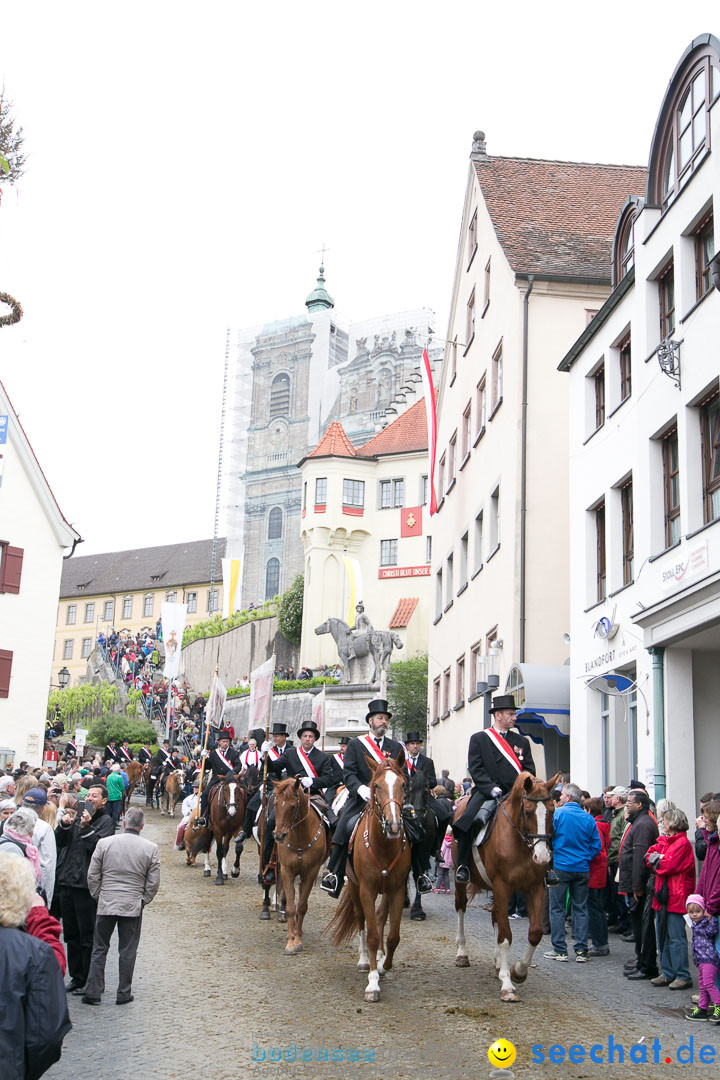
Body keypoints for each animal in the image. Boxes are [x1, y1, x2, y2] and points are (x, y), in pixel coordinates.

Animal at [273, 777, 332, 954]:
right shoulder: (287, 871)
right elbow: (291, 907)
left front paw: (297, 939)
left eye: (292, 806)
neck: (299, 837)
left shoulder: (311, 872)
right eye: (275, 803)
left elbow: (302, 906)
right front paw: (290, 942)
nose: (279, 836)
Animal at [328, 756, 410, 997]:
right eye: (376, 786)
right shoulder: (367, 889)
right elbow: (372, 934)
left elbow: (393, 936)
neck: (383, 845)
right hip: (355, 887)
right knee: (361, 918)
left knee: (381, 917)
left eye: (403, 785)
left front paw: (384, 964)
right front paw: (372, 982)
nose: (394, 826)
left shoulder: (397, 890)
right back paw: (365, 960)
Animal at [451, 768, 561, 1002]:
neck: (521, 843)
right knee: (461, 908)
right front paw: (508, 985)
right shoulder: (502, 885)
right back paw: (462, 953)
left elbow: (535, 932)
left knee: (495, 915)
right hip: (459, 878)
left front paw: (518, 971)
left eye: (551, 812)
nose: (542, 857)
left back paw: (497, 963)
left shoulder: (534, 888)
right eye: (527, 812)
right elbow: (505, 936)